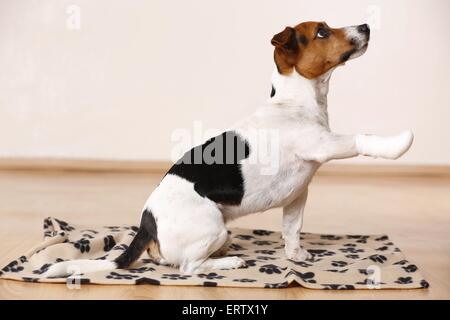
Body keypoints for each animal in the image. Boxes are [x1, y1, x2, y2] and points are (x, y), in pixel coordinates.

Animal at [46, 21, 414, 276]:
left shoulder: (298, 195)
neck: (295, 101)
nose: (365, 26)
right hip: (214, 225)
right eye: (322, 31)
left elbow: (292, 230)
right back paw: (229, 262)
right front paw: (399, 143)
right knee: (188, 267)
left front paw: (296, 257)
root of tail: (148, 221)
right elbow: (361, 138)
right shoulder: (323, 144)